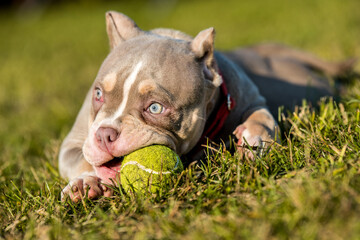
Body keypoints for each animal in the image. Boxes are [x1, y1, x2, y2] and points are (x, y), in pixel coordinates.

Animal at [59, 10, 354, 201]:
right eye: (98, 94)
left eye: (155, 108)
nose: (105, 135)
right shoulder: (73, 143)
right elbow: (80, 160)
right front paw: (84, 183)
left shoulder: (252, 99)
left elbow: (263, 119)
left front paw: (254, 141)